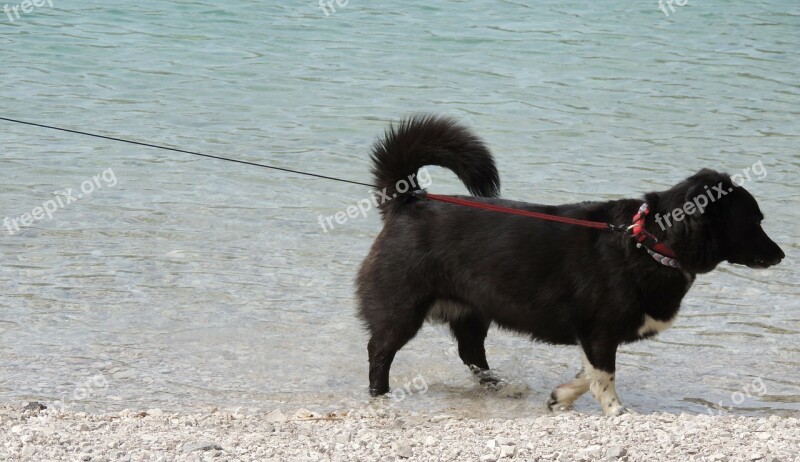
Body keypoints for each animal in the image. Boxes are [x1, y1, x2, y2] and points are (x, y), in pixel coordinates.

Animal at [354, 114, 780, 416]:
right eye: (754, 220)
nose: (782, 255)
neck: (648, 241)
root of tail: (409, 200)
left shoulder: (594, 336)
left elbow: (588, 373)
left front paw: (560, 398)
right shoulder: (600, 331)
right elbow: (604, 375)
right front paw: (616, 412)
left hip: (473, 311)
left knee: (472, 354)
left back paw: (500, 388)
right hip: (401, 308)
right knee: (380, 352)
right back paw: (379, 395)